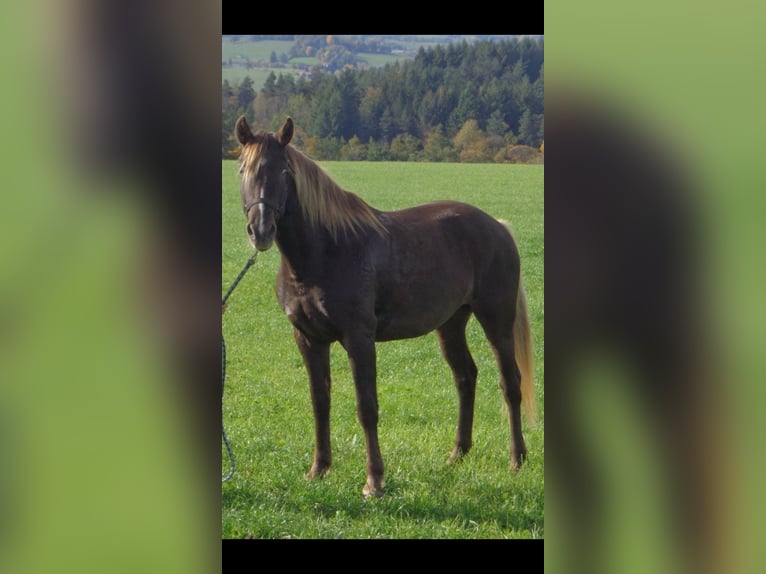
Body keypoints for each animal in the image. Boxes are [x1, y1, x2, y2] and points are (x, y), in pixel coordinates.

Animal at [237, 115, 536, 498]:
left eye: (284, 171)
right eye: (243, 169)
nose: (260, 230)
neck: (325, 252)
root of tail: (497, 227)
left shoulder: (359, 339)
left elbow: (367, 407)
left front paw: (374, 481)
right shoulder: (308, 339)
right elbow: (320, 403)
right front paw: (318, 469)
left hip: (497, 321)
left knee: (510, 382)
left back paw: (516, 459)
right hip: (451, 324)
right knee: (465, 377)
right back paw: (457, 455)